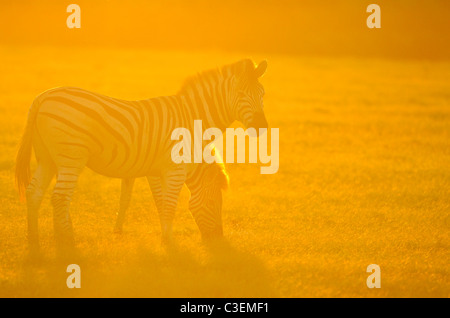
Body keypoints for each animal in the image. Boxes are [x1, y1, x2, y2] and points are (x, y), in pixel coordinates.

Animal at [15, 58, 268, 252]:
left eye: (263, 94)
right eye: (216, 201)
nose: (262, 127)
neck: (192, 119)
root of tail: (43, 97)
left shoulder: (154, 170)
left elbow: (157, 202)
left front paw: (161, 238)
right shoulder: (175, 170)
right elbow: (169, 205)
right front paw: (170, 244)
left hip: (47, 158)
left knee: (34, 193)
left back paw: (34, 242)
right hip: (71, 158)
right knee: (59, 198)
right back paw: (67, 244)